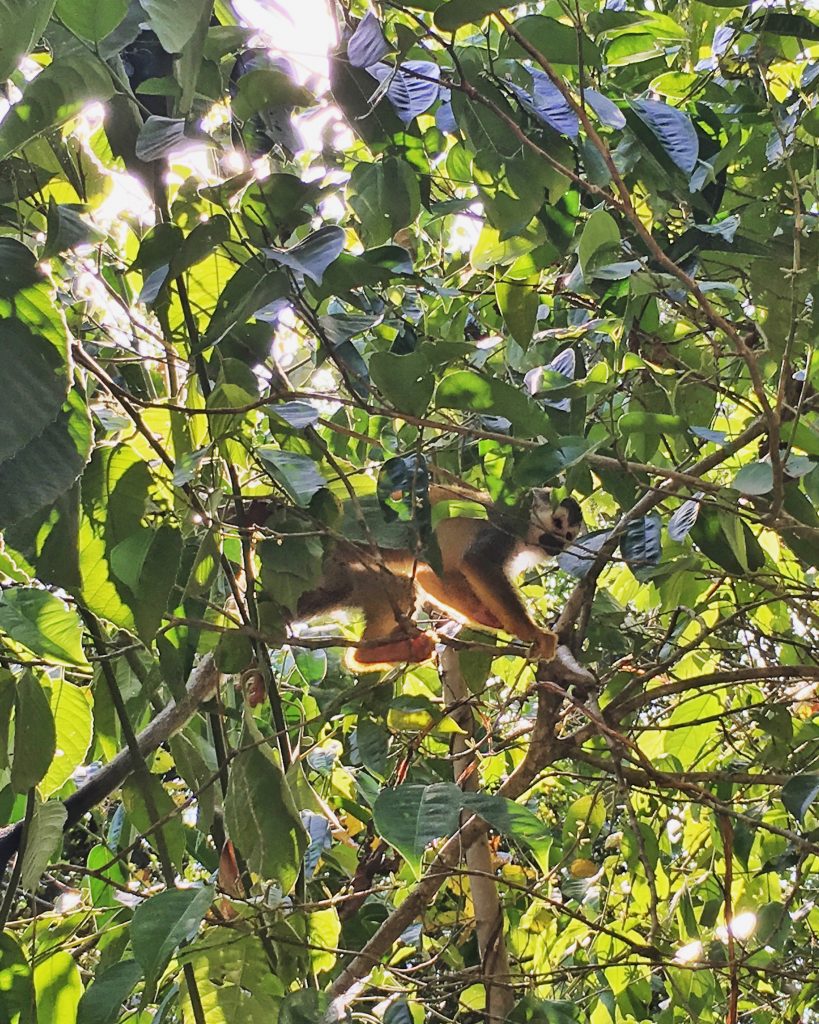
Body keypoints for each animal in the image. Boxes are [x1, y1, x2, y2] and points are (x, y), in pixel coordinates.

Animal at [294, 485, 581, 671]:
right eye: (557, 524)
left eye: (568, 535)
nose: (557, 545)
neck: (527, 532)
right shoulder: (505, 526)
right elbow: (477, 562)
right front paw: (532, 632)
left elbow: (432, 574)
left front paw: (488, 617)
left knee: (401, 589)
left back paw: (370, 654)